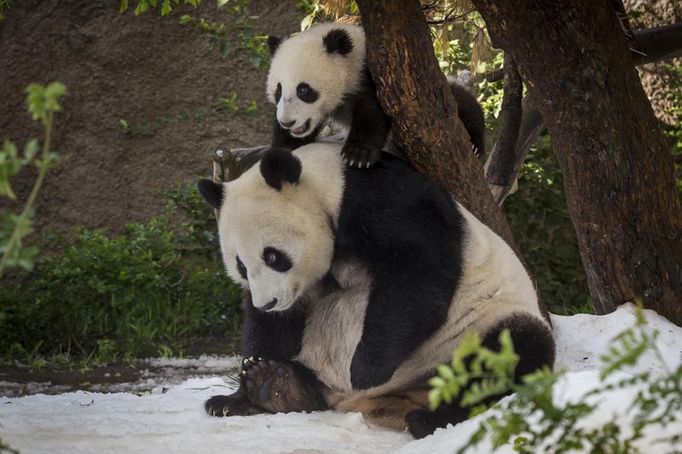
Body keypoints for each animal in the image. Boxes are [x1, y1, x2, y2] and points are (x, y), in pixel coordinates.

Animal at [197, 144, 552, 438]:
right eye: (241, 266)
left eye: (273, 256)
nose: (269, 302)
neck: (326, 186)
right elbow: (275, 326)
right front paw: (239, 393)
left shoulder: (387, 202)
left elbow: (417, 273)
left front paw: (366, 369)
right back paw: (278, 386)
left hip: (475, 329)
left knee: (513, 353)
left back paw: (430, 419)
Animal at [264, 22, 484, 168]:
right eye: (278, 90)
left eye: (303, 90)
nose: (287, 122)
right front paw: (285, 145)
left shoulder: (372, 76)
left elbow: (372, 112)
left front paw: (358, 155)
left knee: (463, 104)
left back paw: (475, 145)